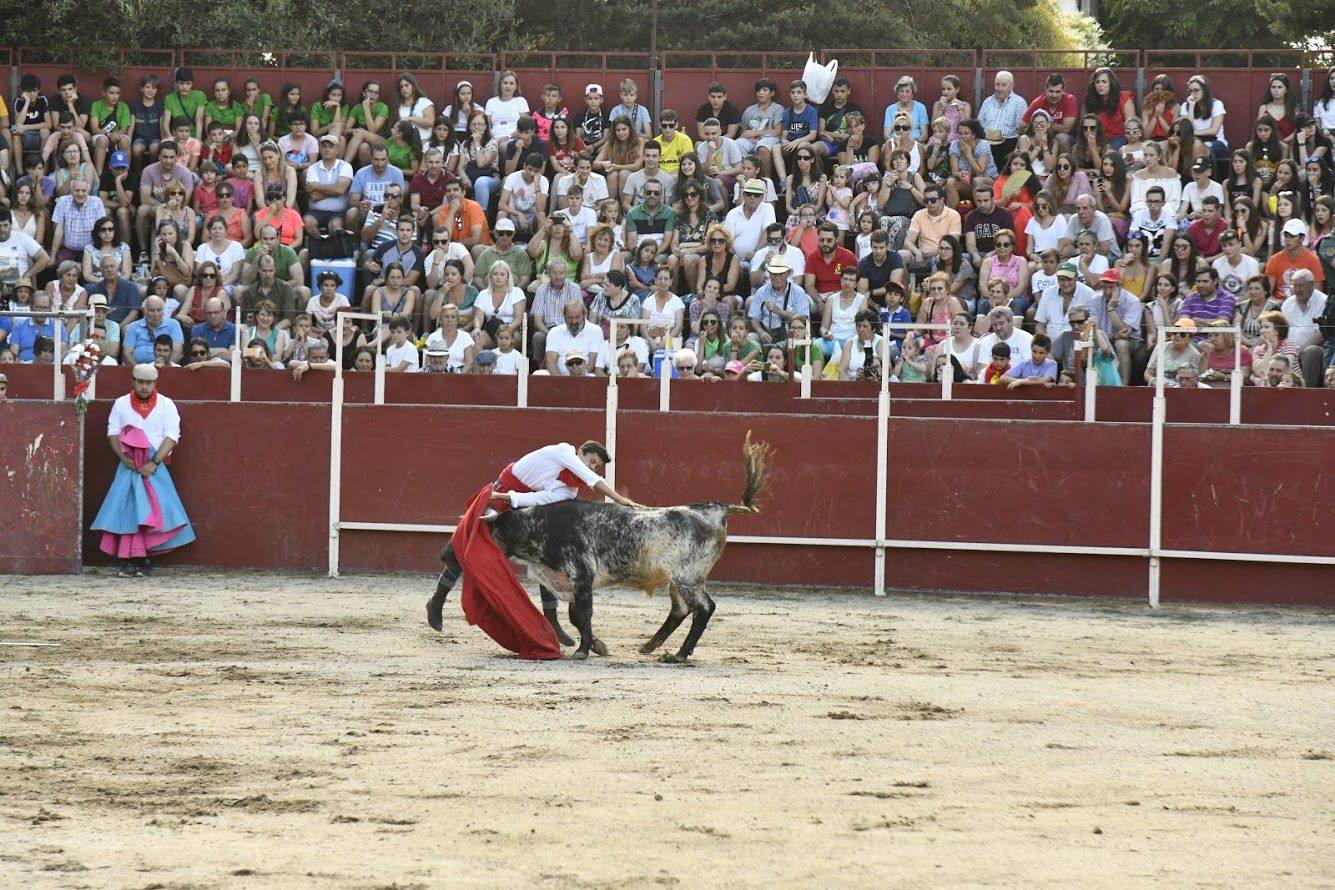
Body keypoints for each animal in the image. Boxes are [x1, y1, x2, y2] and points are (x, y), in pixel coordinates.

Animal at [427, 432, 774, 661]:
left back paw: (678, 655)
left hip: (687, 576)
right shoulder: (566, 581)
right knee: (681, 610)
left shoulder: (581, 576)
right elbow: (575, 616)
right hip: (677, 580)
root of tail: (716, 508)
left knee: (703, 608)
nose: (444, 554)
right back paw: (650, 647)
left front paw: (582, 651)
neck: (539, 525)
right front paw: (595, 646)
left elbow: (583, 613)